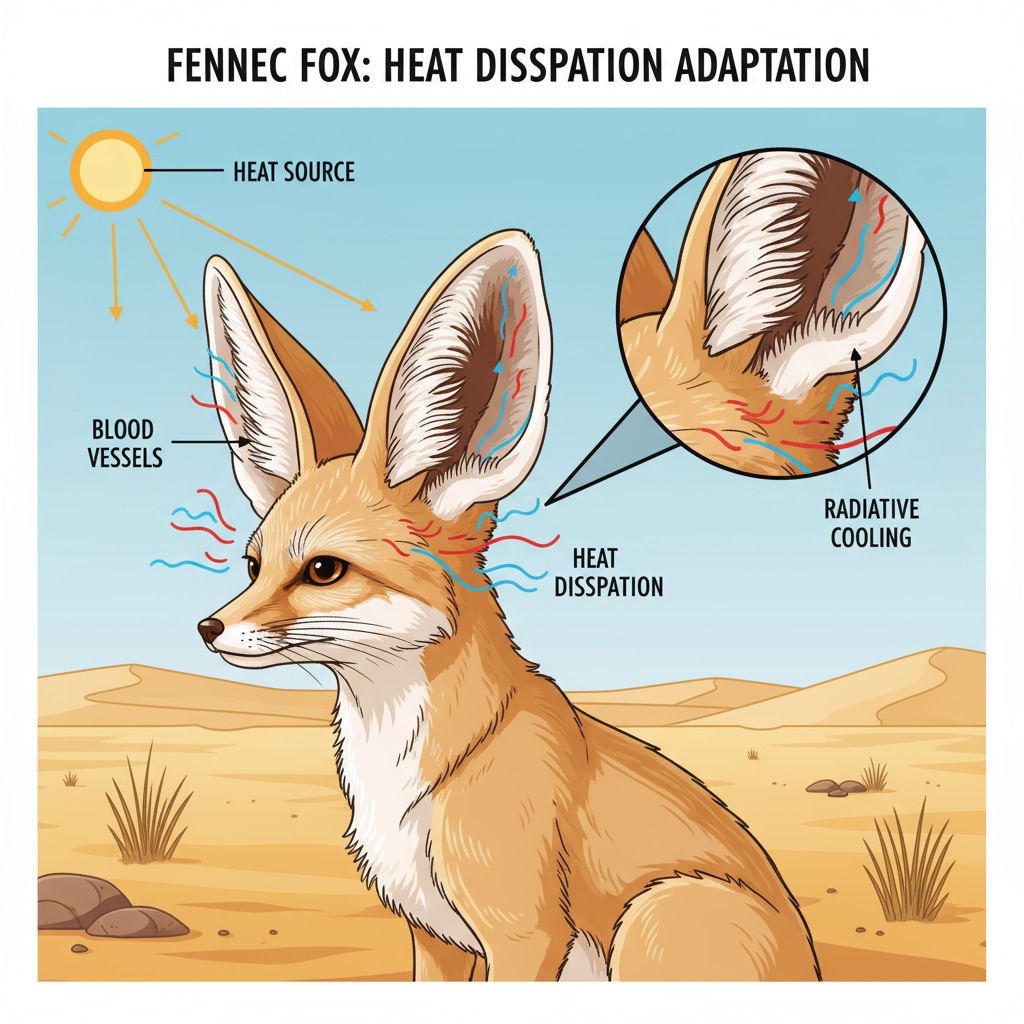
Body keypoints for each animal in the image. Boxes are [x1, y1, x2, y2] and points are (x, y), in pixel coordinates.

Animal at [196, 230, 820, 981]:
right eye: (253, 565)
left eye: (323, 570)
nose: (208, 627)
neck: (411, 771)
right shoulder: (432, 937)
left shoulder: (525, 935)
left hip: (655, 917)